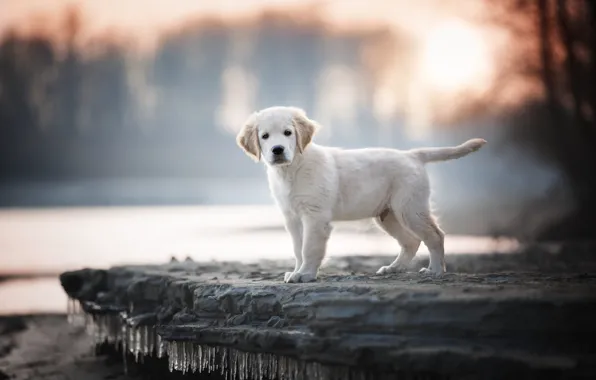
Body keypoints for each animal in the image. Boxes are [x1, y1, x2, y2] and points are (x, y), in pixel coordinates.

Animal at [235, 106, 486, 282]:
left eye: (288, 133)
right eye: (265, 136)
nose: (277, 150)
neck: (291, 169)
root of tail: (412, 155)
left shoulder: (315, 217)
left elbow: (309, 248)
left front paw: (305, 275)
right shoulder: (292, 218)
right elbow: (298, 249)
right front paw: (296, 272)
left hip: (410, 208)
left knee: (434, 235)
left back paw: (434, 270)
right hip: (388, 214)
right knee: (411, 241)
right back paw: (393, 268)